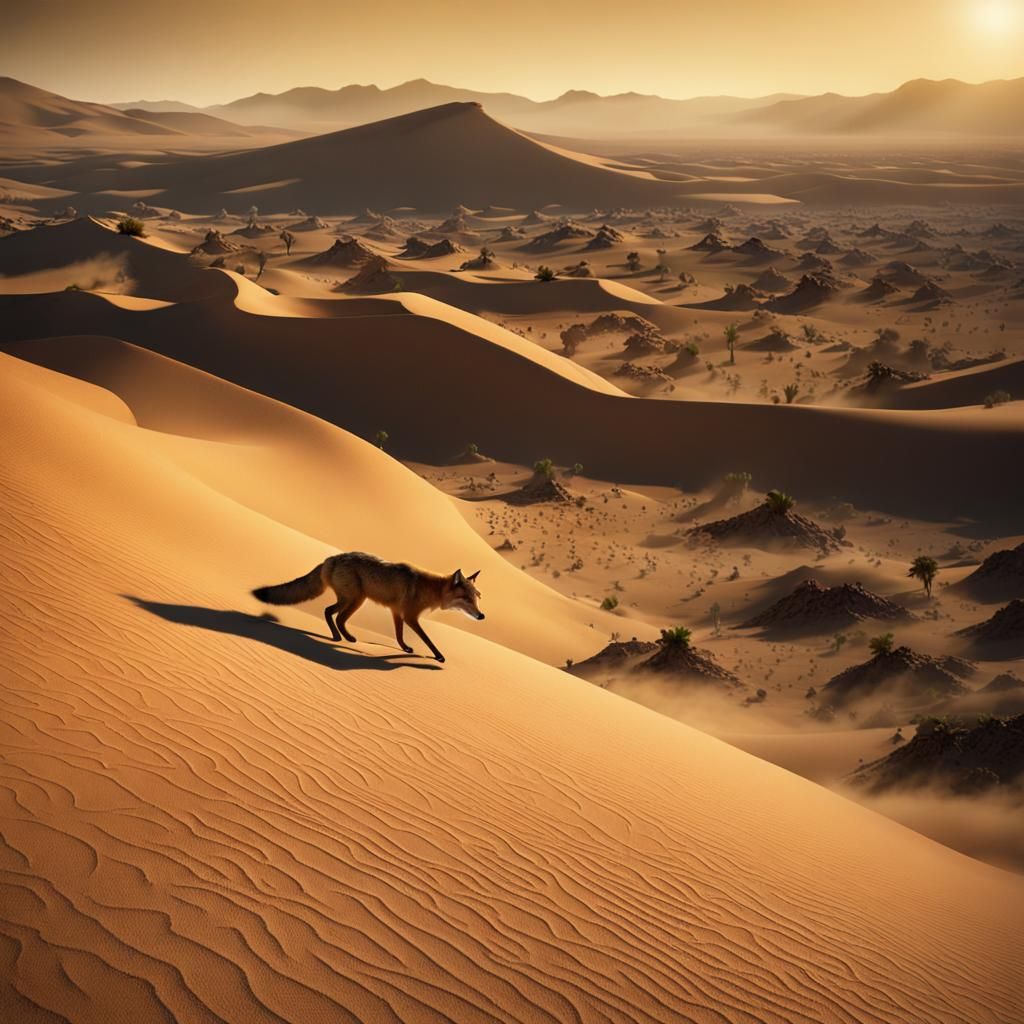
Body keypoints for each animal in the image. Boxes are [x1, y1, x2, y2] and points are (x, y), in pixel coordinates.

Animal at [251, 551, 484, 663]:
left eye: (477, 597)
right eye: (466, 598)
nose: (481, 616)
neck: (428, 588)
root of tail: (329, 559)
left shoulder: (396, 612)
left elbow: (399, 635)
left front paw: (405, 648)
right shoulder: (410, 616)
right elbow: (428, 639)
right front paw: (439, 656)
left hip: (352, 599)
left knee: (333, 615)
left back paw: (341, 638)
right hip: (355, 599)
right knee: (332, 614)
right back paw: (342, 638)